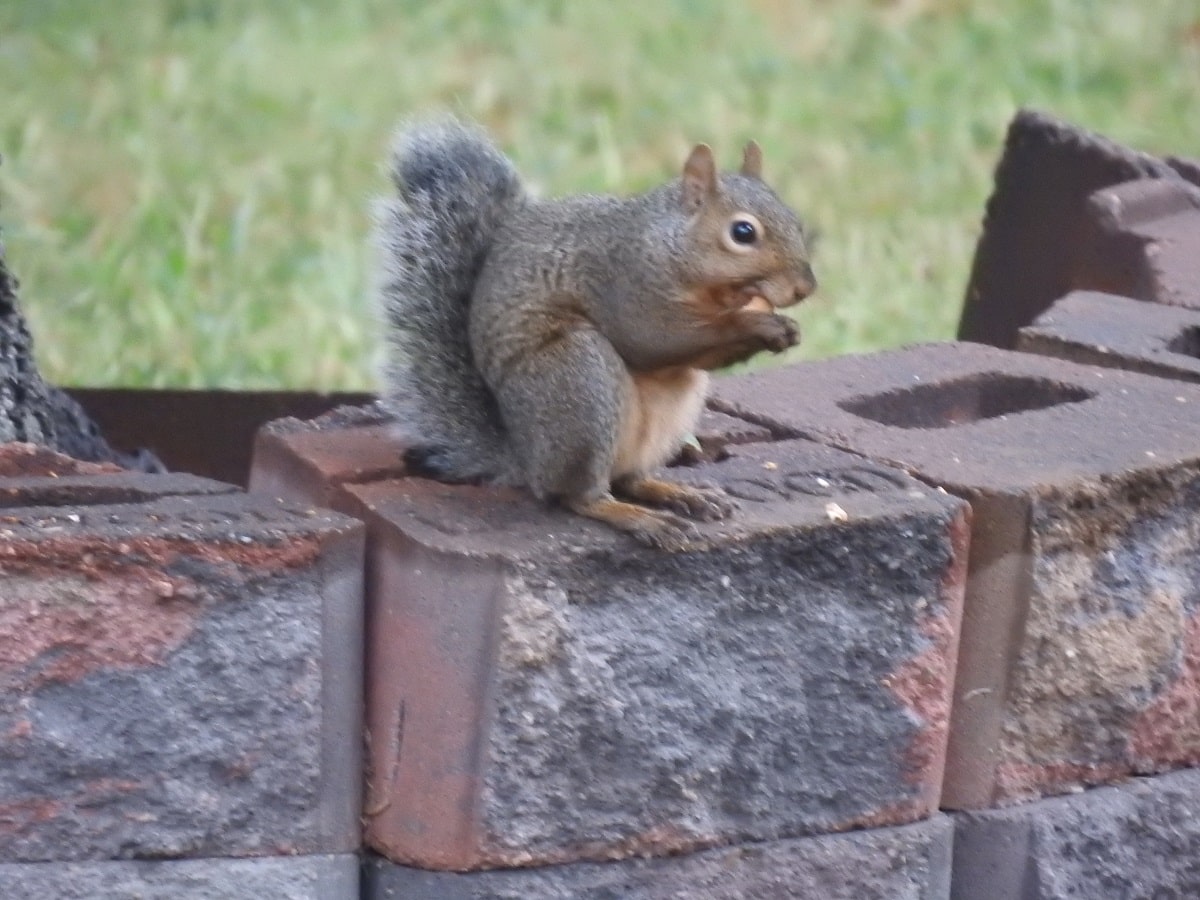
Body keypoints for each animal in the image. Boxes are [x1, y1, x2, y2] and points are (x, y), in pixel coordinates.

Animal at [376, 118, 816, 549]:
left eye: (795, 220)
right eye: (743, 233)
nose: (805, 288)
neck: (670, 245)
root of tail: (527, 460)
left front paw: (782, 328)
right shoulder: (623, 284)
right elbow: (656, 338)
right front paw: (760, 324)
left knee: (631, 479)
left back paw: (681, 495)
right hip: (579, 377)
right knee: (580, 496)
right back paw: (642, 520)